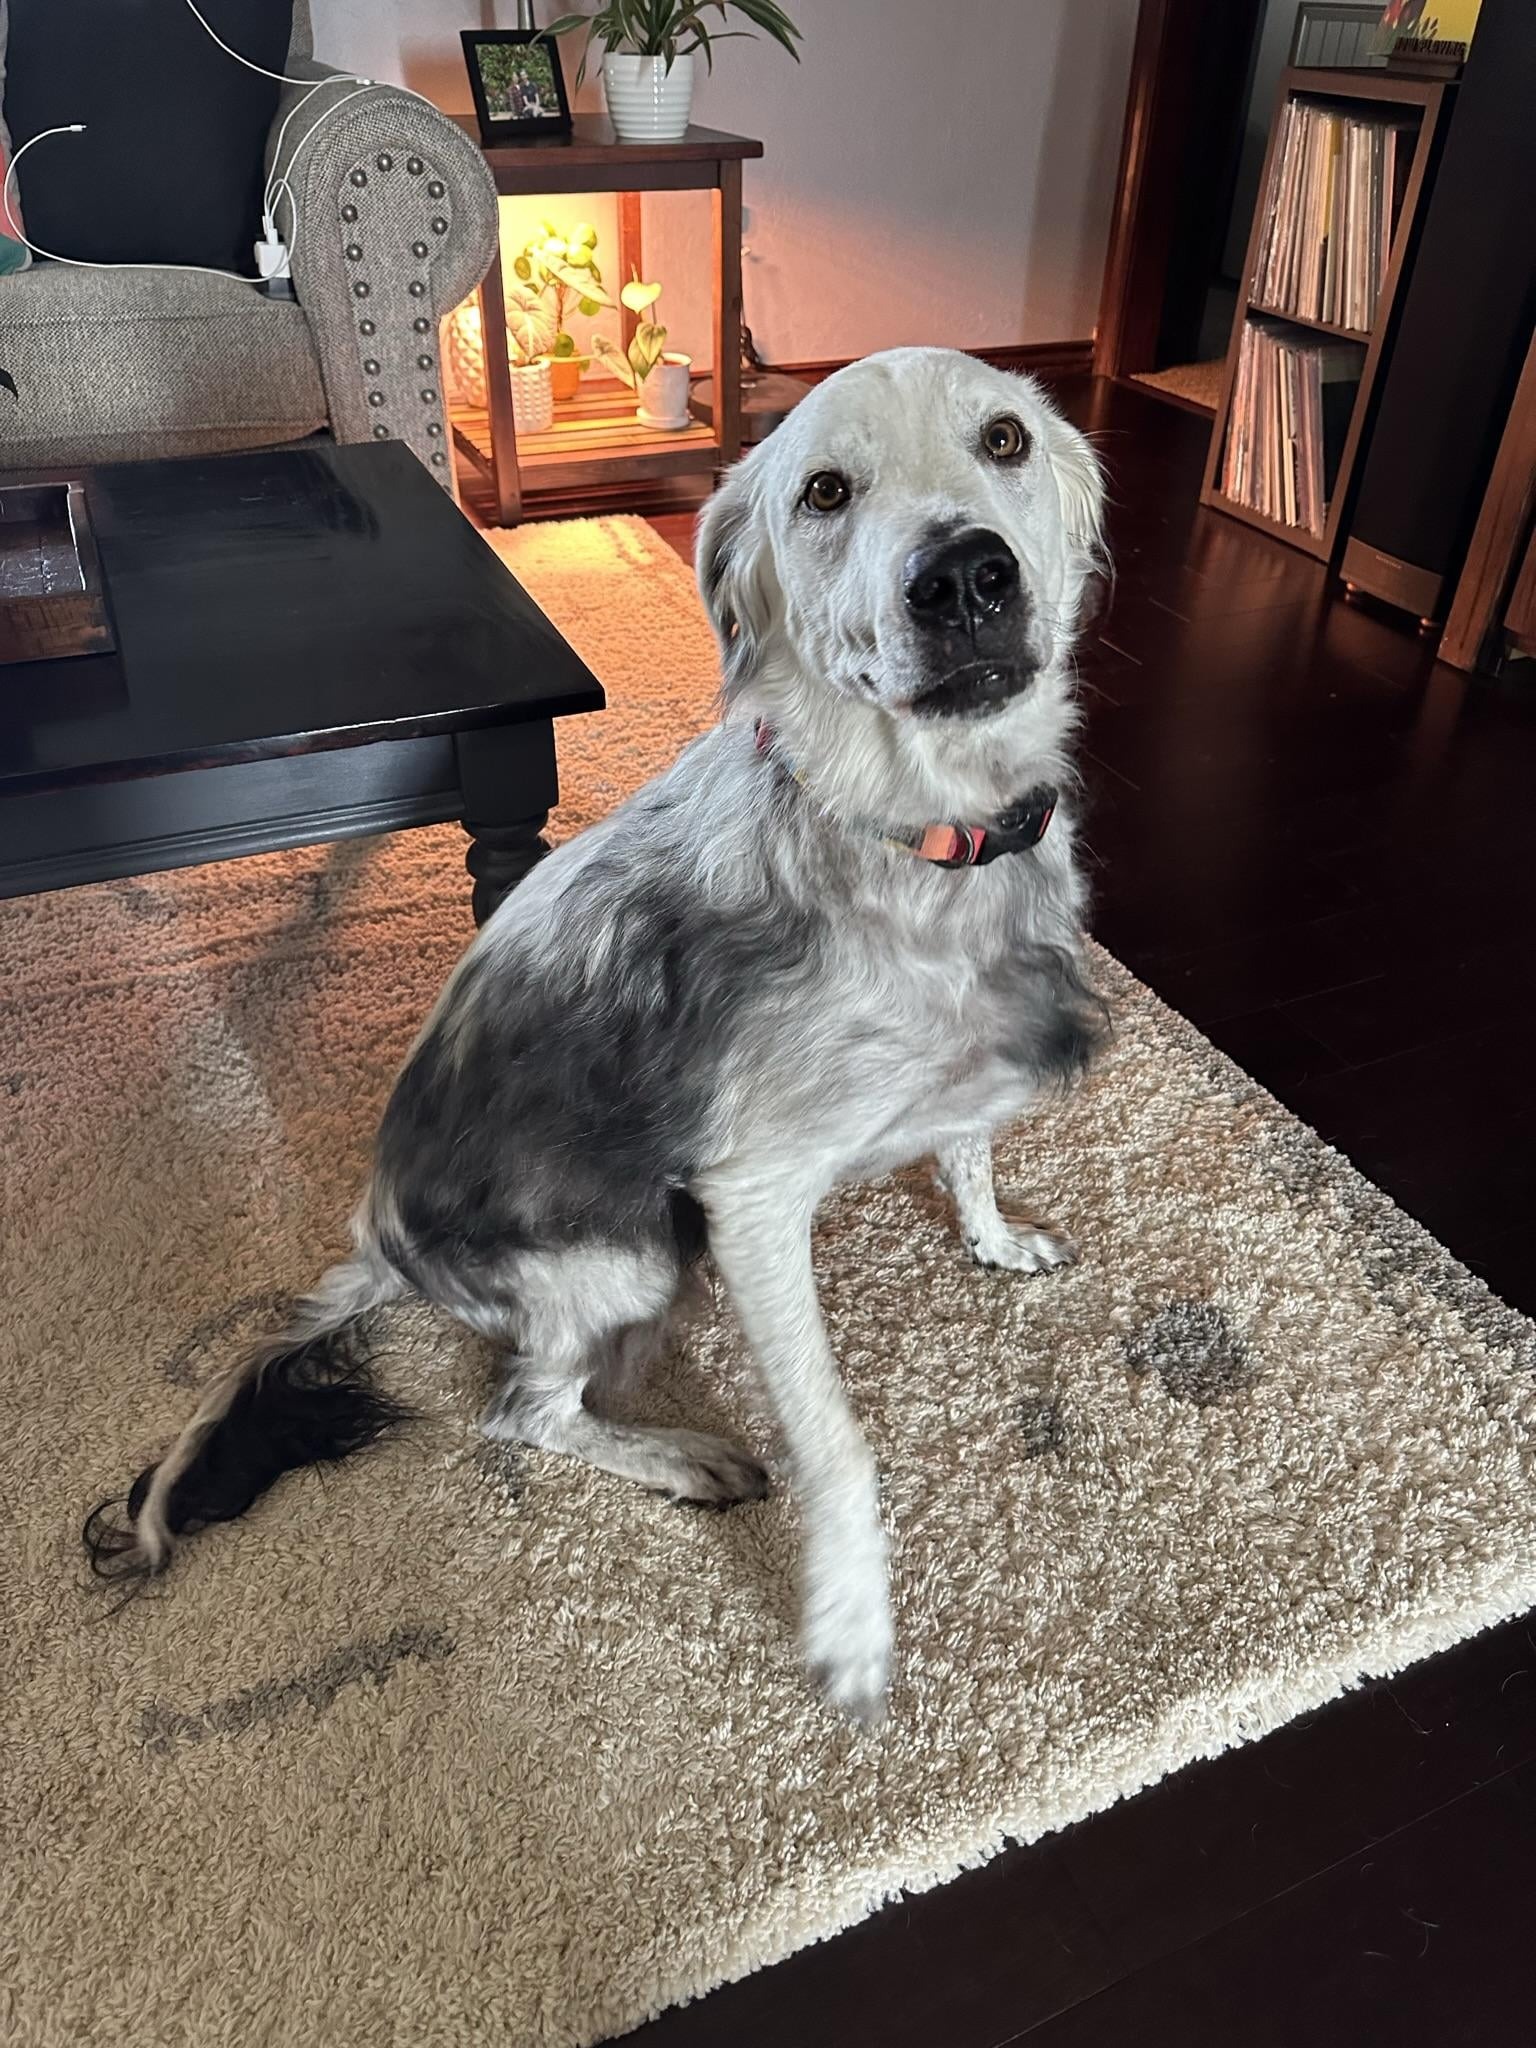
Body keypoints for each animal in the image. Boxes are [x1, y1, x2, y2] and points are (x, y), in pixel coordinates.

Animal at [90, 352, 1105, 1728]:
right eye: (824, 491)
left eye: (1004, 438)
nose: (964, 577)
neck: (916, 836)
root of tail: (378, 1241)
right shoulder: (752, 1201)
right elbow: (835, 1437)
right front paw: (850, 1621)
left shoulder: (964, 1076)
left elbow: (970, 1152)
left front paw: (997, 1238)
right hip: (632, 1254)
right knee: (524, 1411)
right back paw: (680, 1453)